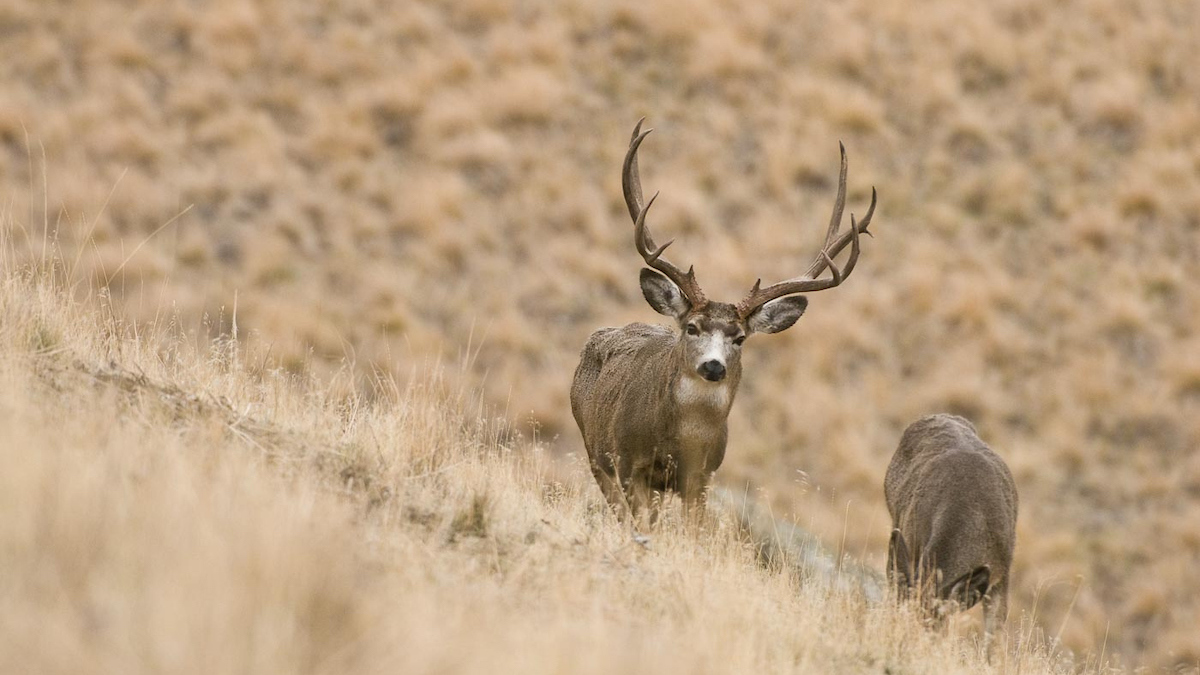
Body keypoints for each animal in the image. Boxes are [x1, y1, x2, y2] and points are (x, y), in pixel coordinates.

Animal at [566, 118, 878, 523]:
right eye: (692, 327)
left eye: (740, 337)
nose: (713, 366)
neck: (682, 441)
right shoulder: (630, 463)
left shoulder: (702, 477)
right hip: (595, 452)